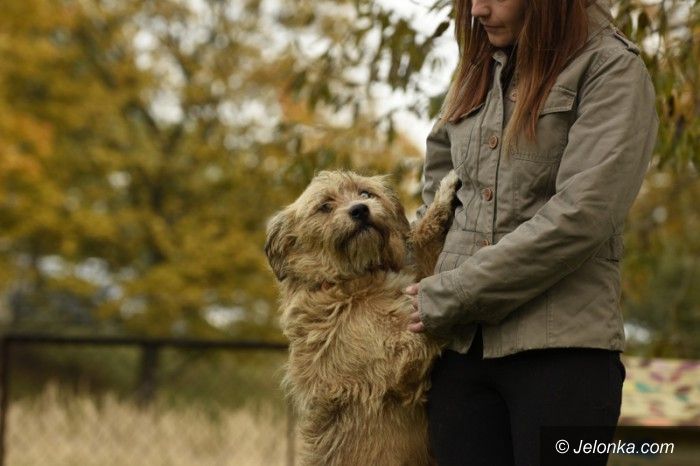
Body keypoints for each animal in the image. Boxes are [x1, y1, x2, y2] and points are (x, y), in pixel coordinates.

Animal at [264, 170, 458, 465]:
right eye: (325, 206)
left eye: (366, 193)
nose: (360, 210)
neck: (351, 280)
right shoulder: (397, 355)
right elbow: (427, 328)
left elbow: (424, 241)